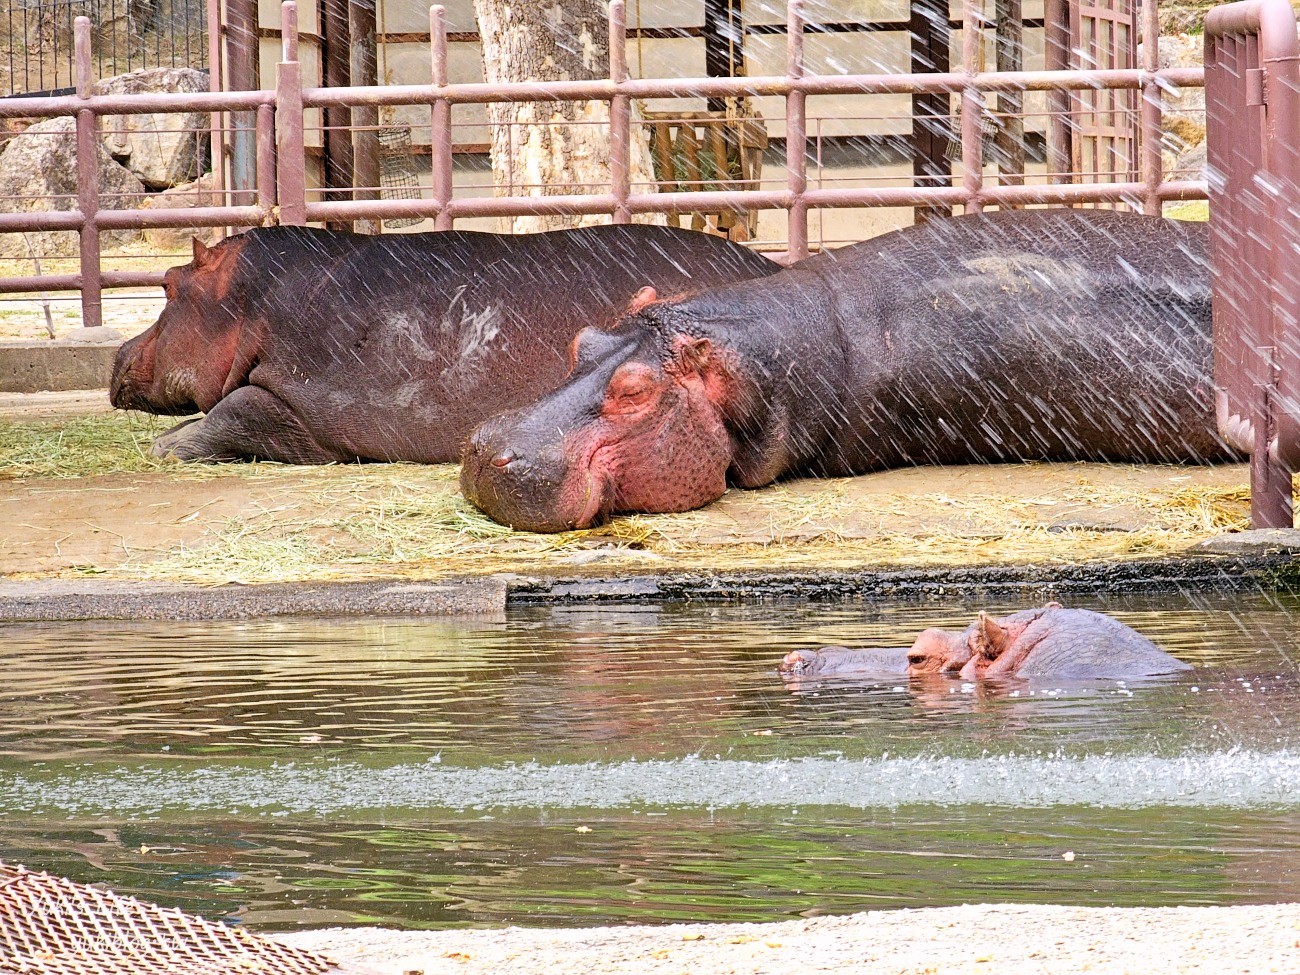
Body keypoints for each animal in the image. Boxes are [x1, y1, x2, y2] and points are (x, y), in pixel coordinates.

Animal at [109, 224, 769, 465]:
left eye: (167, 283)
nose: (117, 354)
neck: (249, 299)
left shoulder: (299, 403)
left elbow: (229, 413)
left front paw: (164, 447)